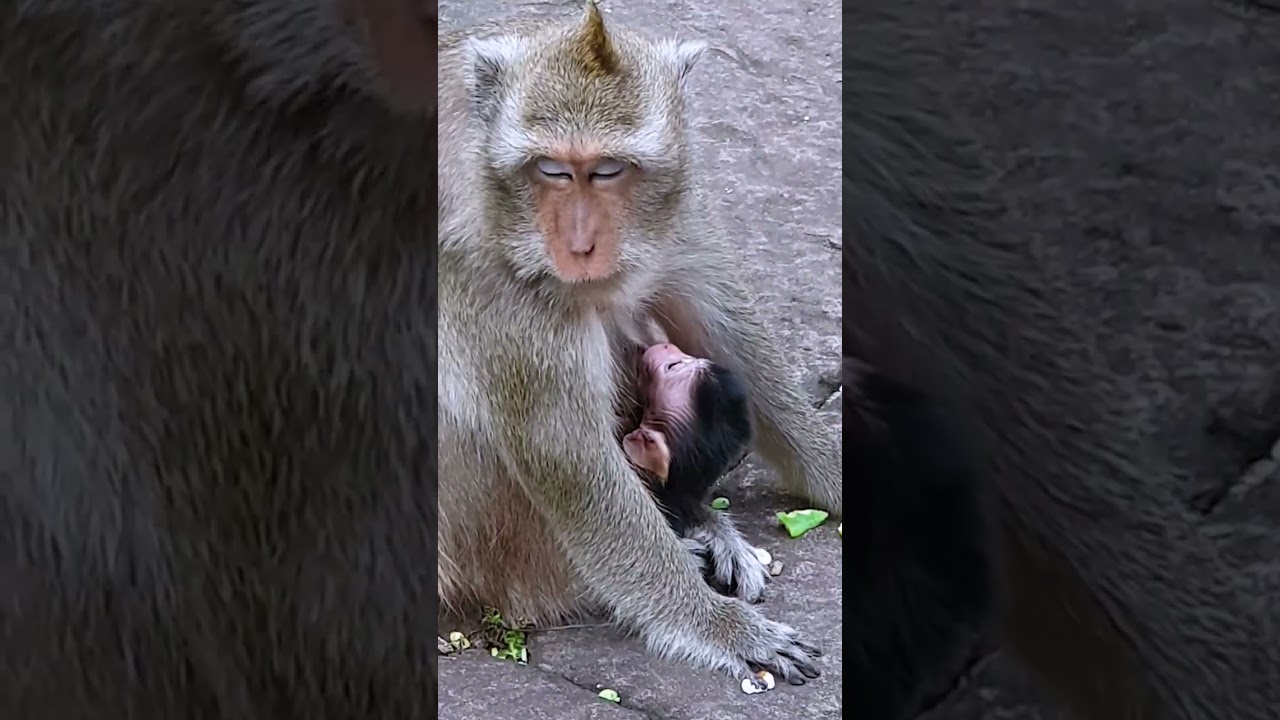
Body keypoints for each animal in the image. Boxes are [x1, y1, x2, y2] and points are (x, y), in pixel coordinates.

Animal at [437, 2, 839, 686]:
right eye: (551, 170)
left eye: (607, 171)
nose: (578, 245)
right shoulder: (489, 281)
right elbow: (566, 459)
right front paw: (718, 625)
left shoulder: (678, 210)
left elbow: (731, 335)